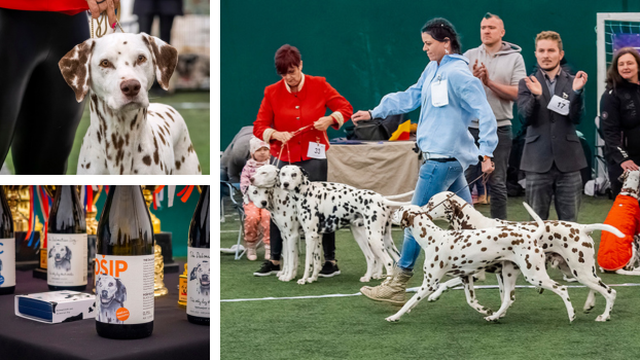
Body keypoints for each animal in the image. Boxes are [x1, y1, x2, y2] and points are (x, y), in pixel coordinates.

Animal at [249, 165, 396, 282]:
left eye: (264, 173)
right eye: (283, 174)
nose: (251, 178)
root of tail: (382, 199)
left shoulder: (298, 236)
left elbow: (300, 261)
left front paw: (295, 277)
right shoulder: (288, 236)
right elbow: (296, 260)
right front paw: (300, 276)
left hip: (373, 238)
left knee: (385, 260)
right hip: (373, 239)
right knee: (377, 258)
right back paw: (373, 277)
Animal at [388, 202, 576, 324]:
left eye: (399, 210)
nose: (391, 211)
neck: (433, 238)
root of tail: (531, 235)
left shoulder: (429, 283)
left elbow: (410, 301)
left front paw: (395, 316)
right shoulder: (466, 278)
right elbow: (471, 301)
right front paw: (485, 310)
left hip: (534, 275)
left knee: (562, 289)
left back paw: (571, 315)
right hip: (508, 275)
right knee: (508, 299)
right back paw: (493, 317)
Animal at [424, 193, 624, 322]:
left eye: (431, 203)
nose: (421, 210)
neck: (476, 225)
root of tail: (583, 228)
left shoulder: (477, 273)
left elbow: (446, 283)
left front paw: (433, 294)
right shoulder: (500, 274)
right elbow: (504, 296)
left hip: (580, 271)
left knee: (610, 292)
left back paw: (604, 316)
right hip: (576, 271)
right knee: (596, 288)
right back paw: (589, 305)